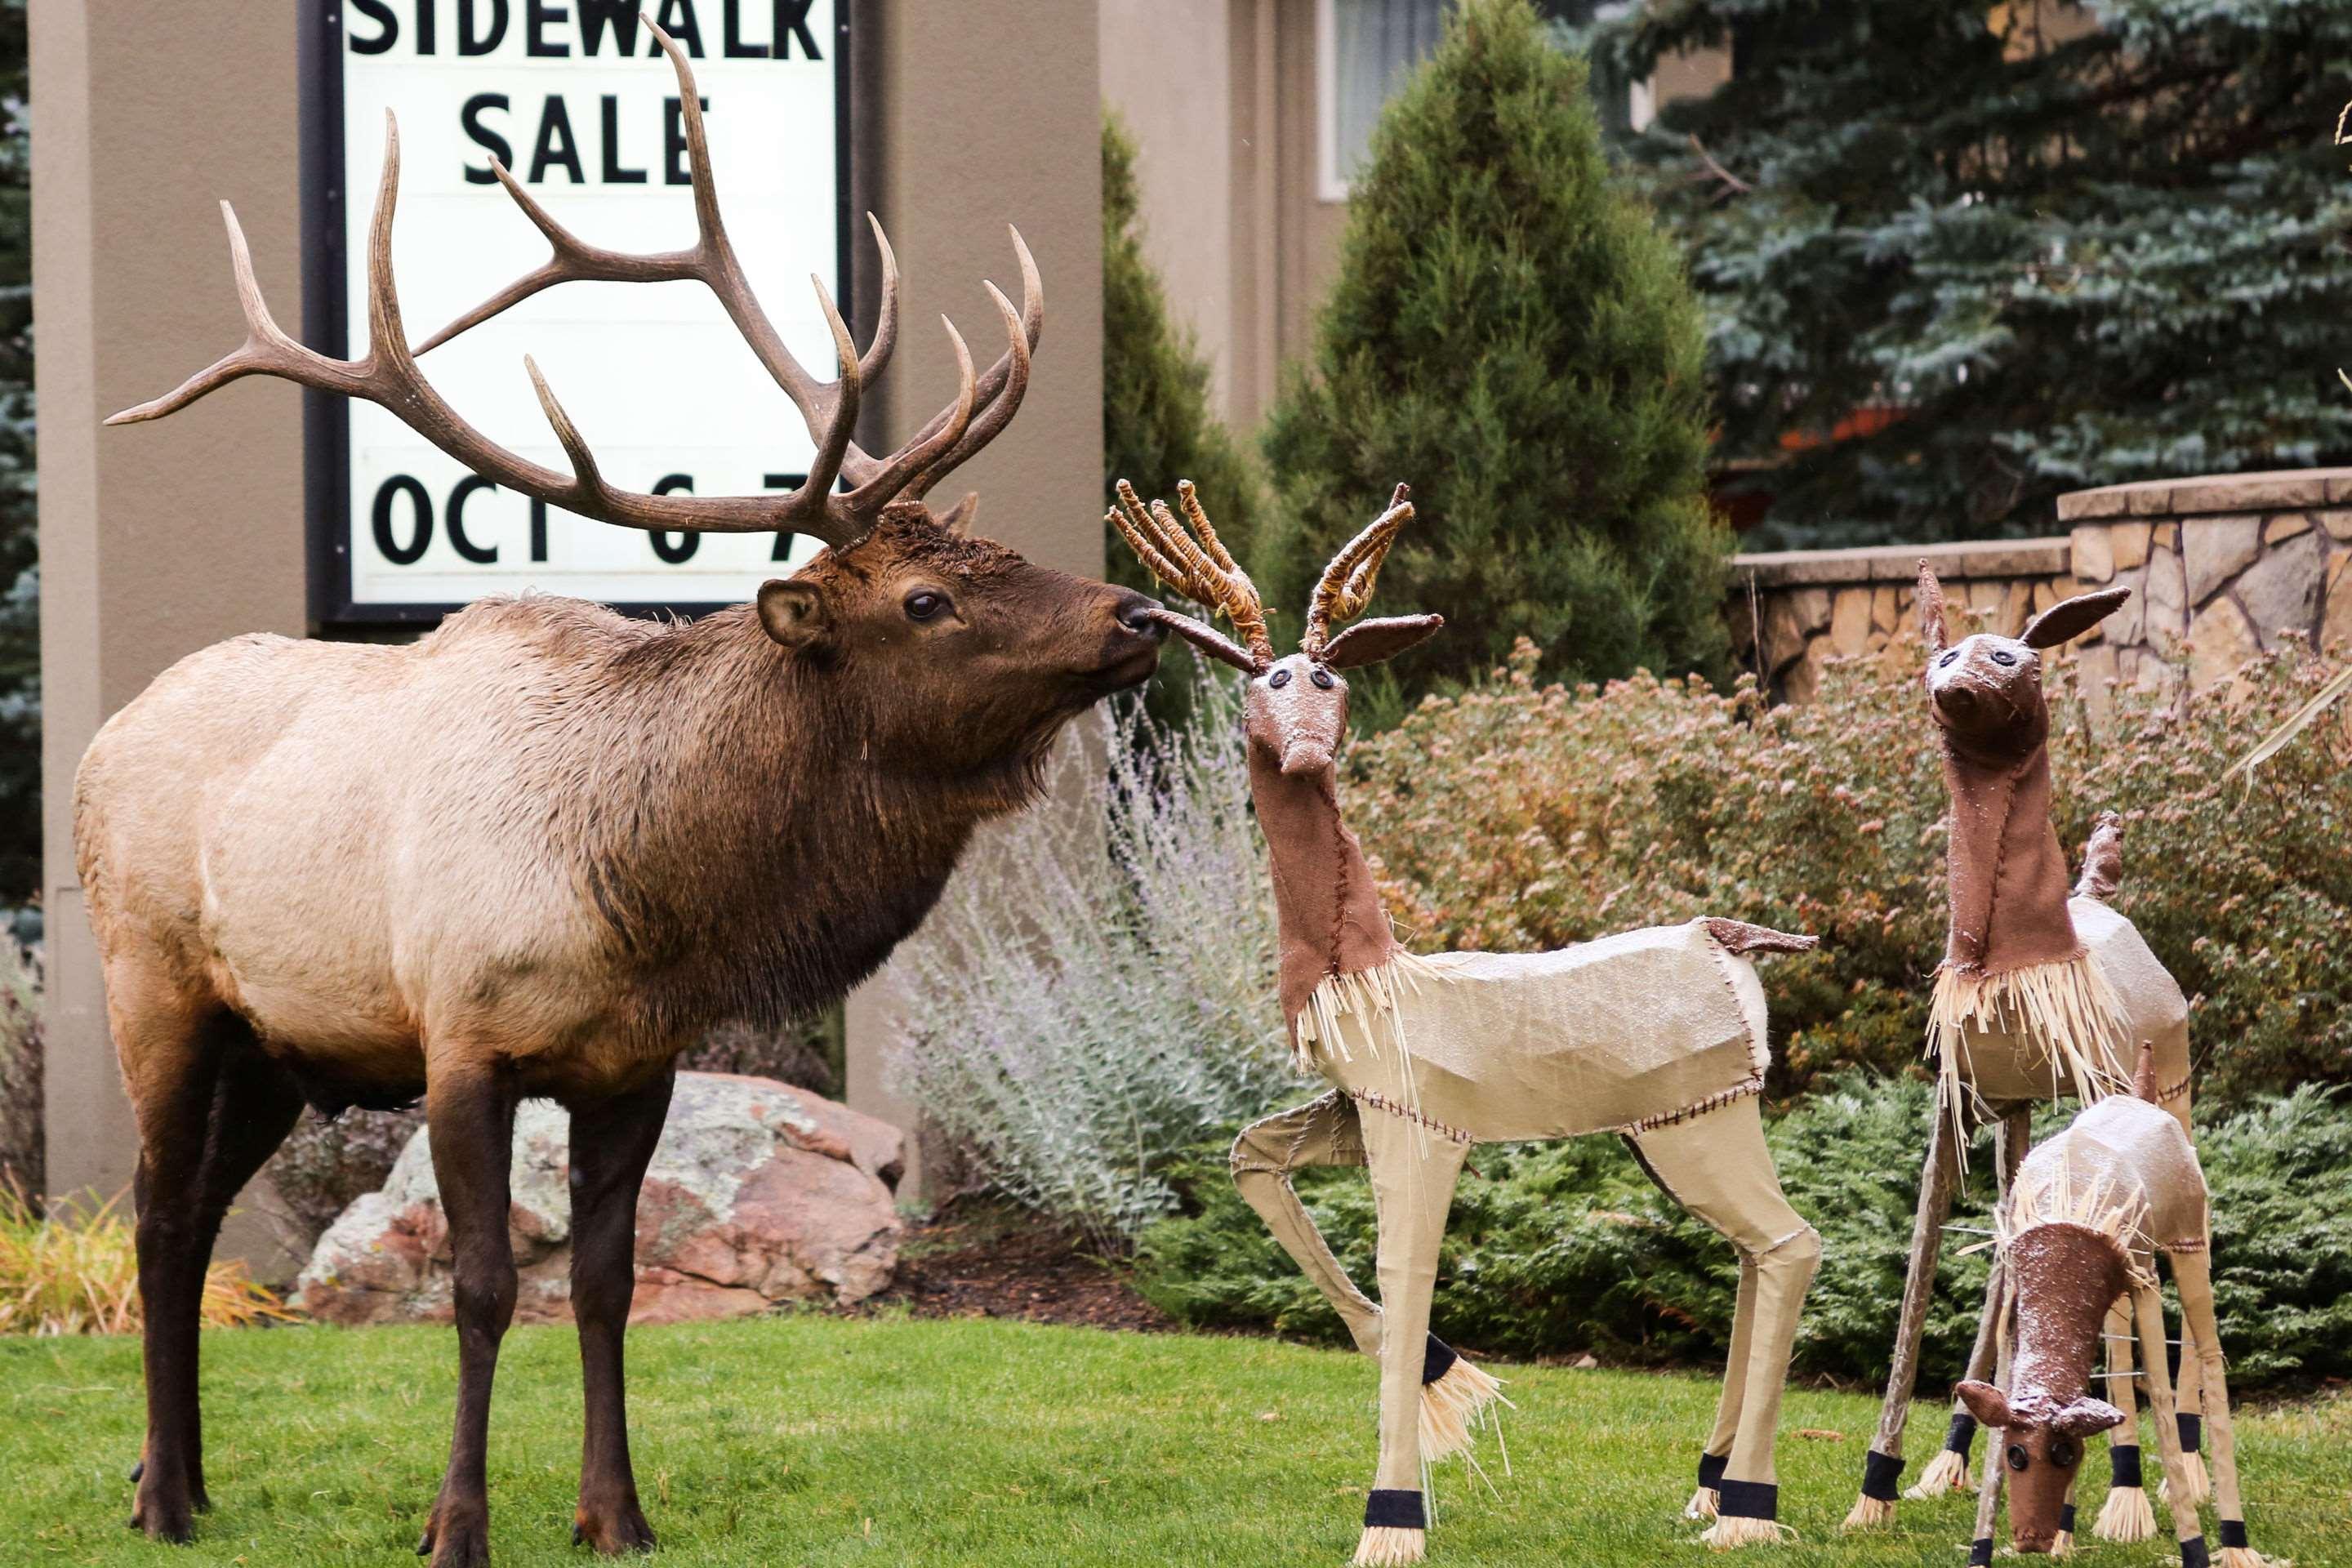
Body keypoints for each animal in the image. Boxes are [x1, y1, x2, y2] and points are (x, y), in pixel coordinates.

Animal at [85, 24, 1166, 1568]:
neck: (641, 896)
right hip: (157, 987)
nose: (1138, 613)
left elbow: (604, 1282)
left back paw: (171, 1478)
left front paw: (617, 1514)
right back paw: (167, 1495)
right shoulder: (460, 1037)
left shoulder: (635, 1063)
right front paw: (457, 1527)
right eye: (926, 596)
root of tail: (100, 738)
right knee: (162, 1217)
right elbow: (483, 1286)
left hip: (277, 1051)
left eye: (998, 544)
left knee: (193, 1212)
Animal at [1110, 483, 1824, 1561]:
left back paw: (1744, 1508)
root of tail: (1730, 937)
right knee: (1752, 1254)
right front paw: (1445, 1380)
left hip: (1704, 1123)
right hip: (1666, 1133)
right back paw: (1705, 1489)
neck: (1372, 972)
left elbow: (1406, 1270)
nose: (1309, 750)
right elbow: (1250, 1162)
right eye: (1265, 680)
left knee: (1791, 1246)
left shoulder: (1421, 1127)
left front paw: (1392, 1517)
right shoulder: (1355, 1109)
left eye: (1327, 676)